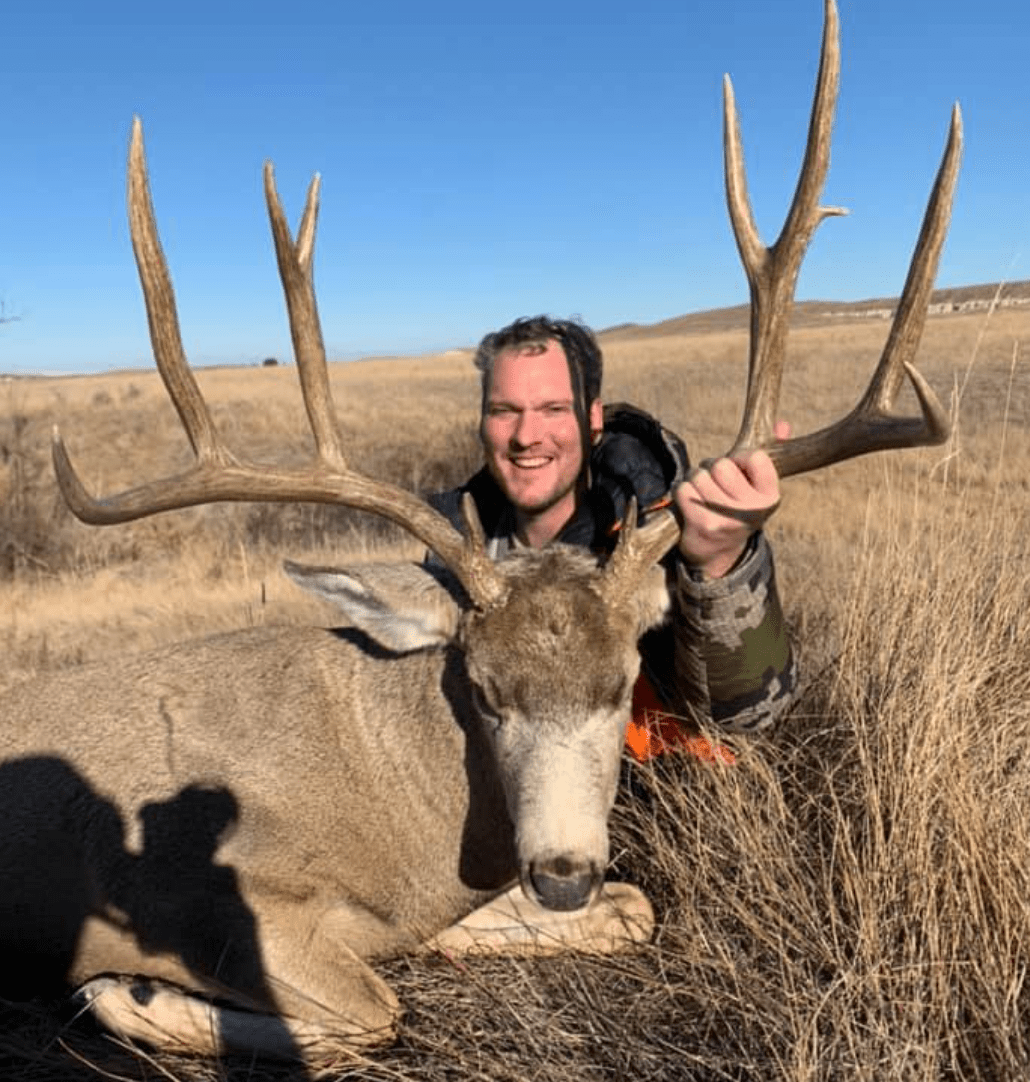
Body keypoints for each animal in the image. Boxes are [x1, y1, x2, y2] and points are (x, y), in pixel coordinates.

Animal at [0, 0, 960, 1063]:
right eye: (486, 692)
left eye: (623, 683)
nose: (562, 870)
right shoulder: (208, 897)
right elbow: (369, 1012)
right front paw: (132, 993)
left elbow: (631, 910)